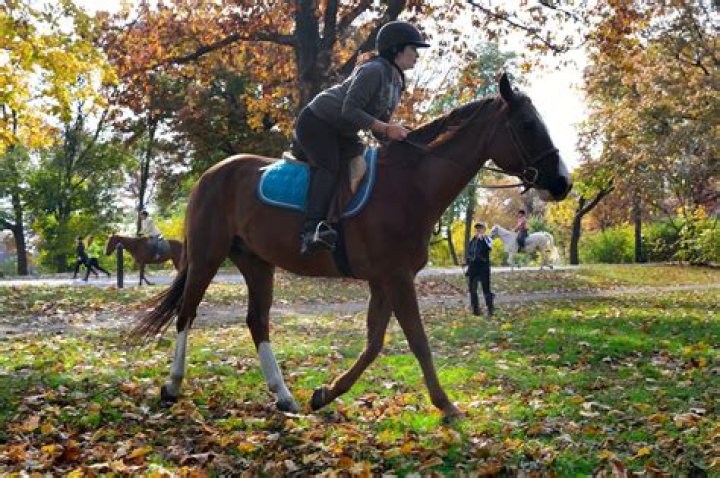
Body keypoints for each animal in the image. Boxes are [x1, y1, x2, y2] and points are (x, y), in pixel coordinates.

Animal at [131, 74, 571, 420]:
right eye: (528, 124)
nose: (563, 182)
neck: (410, 185)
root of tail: (212, 173)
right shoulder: (396, 279)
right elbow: (417, 341)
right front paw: (446, 405)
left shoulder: (385, 280)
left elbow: (374, 343)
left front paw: (325, 393)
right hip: (207, 255)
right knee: (187, 313)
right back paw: (172, 386)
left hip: (256, 262)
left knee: (257, 321)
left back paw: (284, 396)